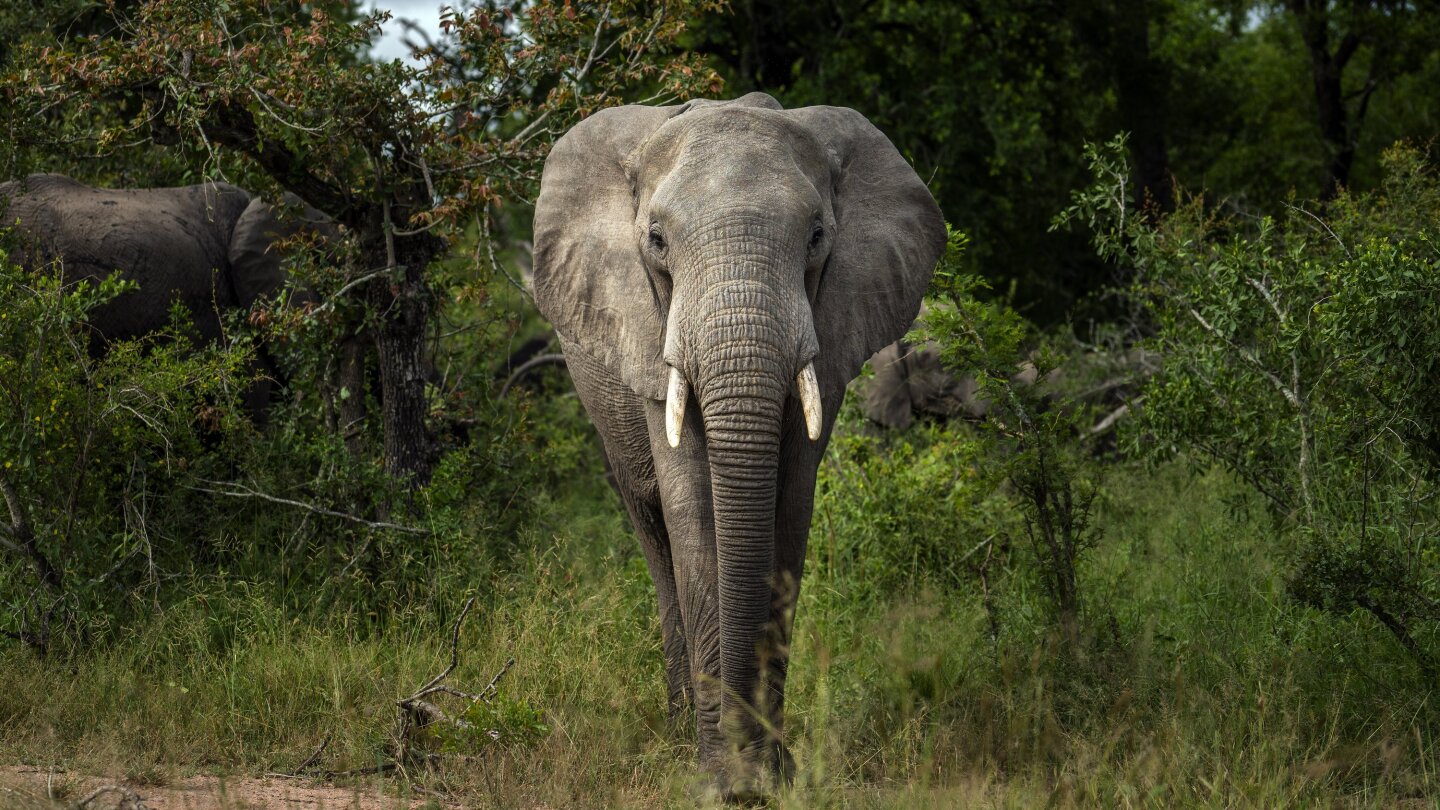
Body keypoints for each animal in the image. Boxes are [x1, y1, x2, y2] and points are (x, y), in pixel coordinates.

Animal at [529, 91, 944, 789]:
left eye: (816, 237)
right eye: (657, 241)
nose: (745, 760)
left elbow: (789, 507)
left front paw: (771, 775)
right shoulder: (647, 334)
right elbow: (693, 510)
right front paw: (722, 779)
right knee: (653, 532)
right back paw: (677, 730)